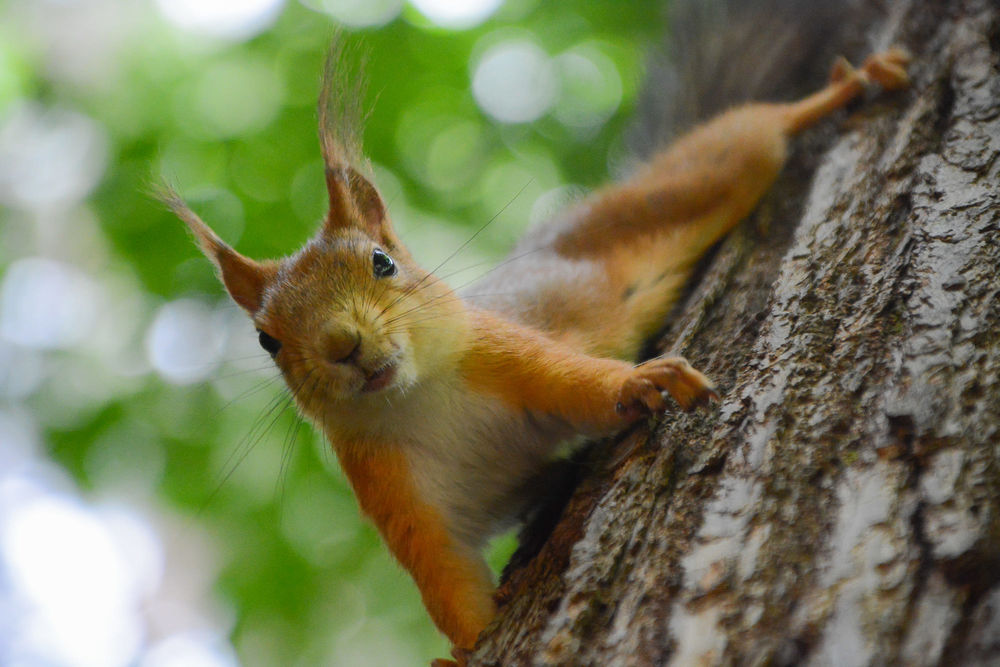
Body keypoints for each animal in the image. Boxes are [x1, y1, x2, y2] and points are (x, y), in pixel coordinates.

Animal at [163, 27, 910, 666]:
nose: (343, 344)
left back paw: (847, 86)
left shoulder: (508, 353)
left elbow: (578, 385)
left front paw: (640, 382)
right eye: (267, 340)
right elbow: (447, 577)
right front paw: (464, 648)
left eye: (382, 262)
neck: (418, 396)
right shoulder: (391, 487)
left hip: (697, 182)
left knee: (751, 133)